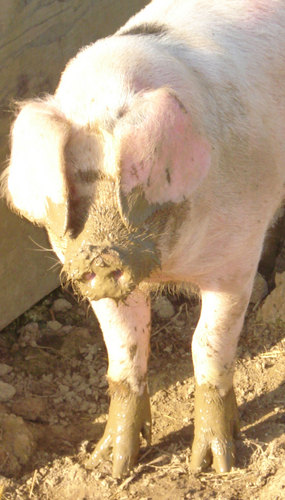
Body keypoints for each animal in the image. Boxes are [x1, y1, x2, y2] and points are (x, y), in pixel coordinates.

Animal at [0, 0, 284, 478]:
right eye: (75, 184)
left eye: (135, 181)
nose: (99, 255)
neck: (168, 268)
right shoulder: (94, 282)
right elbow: (124, 353)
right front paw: (111, 465)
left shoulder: (235, 257)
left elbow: (207, 345)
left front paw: (213, 466)